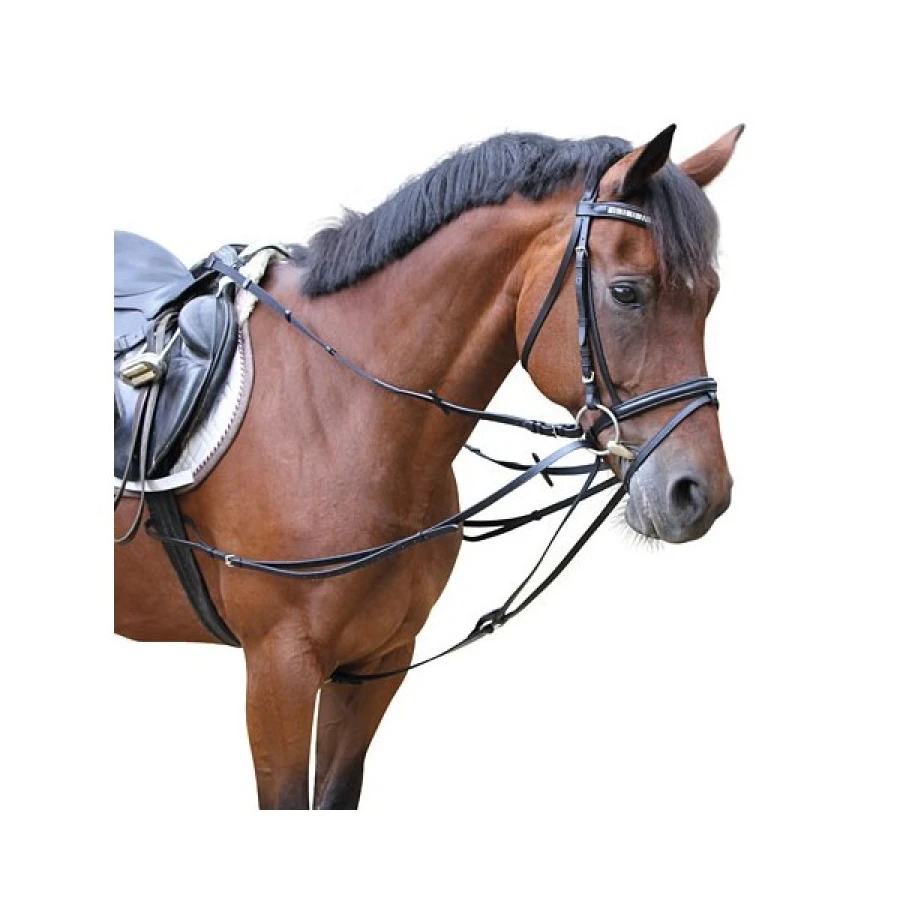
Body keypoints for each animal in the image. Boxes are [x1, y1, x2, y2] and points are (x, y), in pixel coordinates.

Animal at [114, 123, 742, 809]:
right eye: (627, 293)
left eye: (711, 299)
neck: (341, 409)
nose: (698, 493)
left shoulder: (377, 663)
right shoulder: (279, 669)